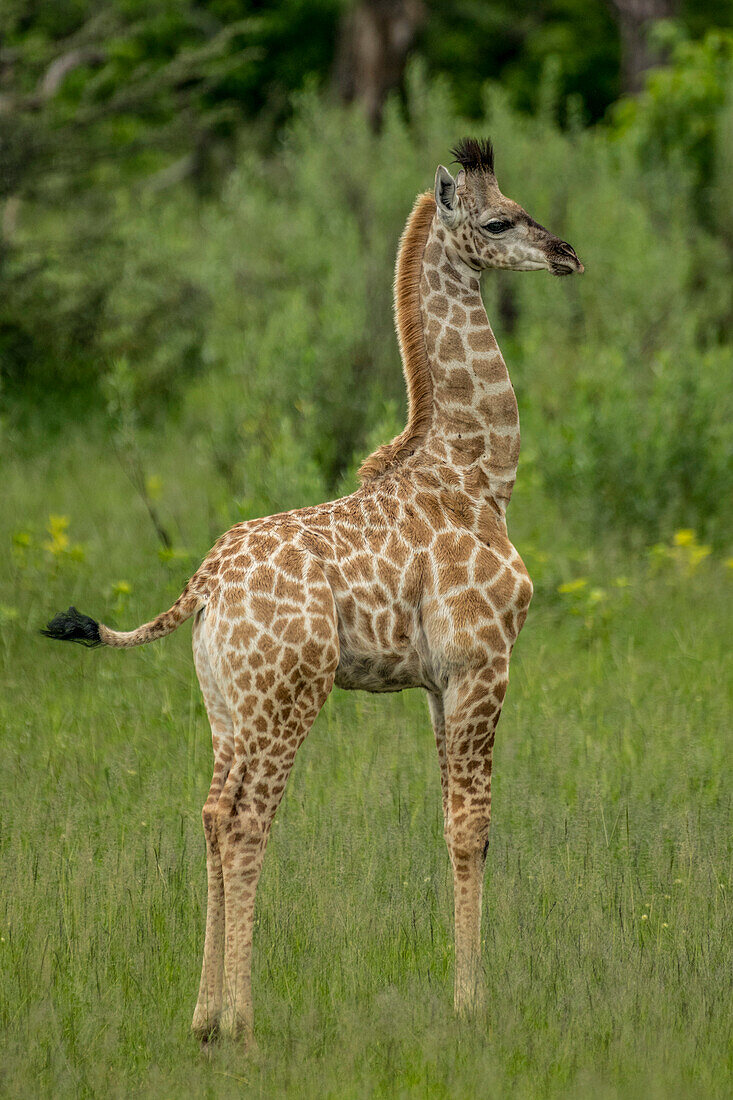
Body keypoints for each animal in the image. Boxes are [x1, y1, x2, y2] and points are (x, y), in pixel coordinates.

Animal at [44, 137, 581, 1038]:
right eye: (500, 221)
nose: (566, 255)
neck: (478, 476)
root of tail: (203, 583)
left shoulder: (435, 683)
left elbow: (446, 822)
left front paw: (459, 992)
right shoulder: (482, 663)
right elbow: (472, 827)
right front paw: (471, 1004)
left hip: (227, 705)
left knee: (211, 815)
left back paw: (201, 1018)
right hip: (287, 697)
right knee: (246, 823)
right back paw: (241, 1024)